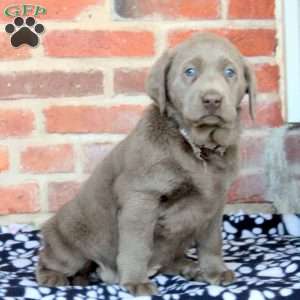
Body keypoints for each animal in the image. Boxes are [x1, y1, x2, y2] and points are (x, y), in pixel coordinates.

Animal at [35, 32, 255, 296]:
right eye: (189, 71)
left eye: (230, 72)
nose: (212, 99)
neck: (198, 148)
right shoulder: (141, 197)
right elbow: (137, 244)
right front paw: (136, 281)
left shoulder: (215, 200)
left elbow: (212, 241)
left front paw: (215, 271)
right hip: (70, 241)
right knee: (51, 260)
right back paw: (53, 277)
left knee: (171, 259)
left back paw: (190, 267)